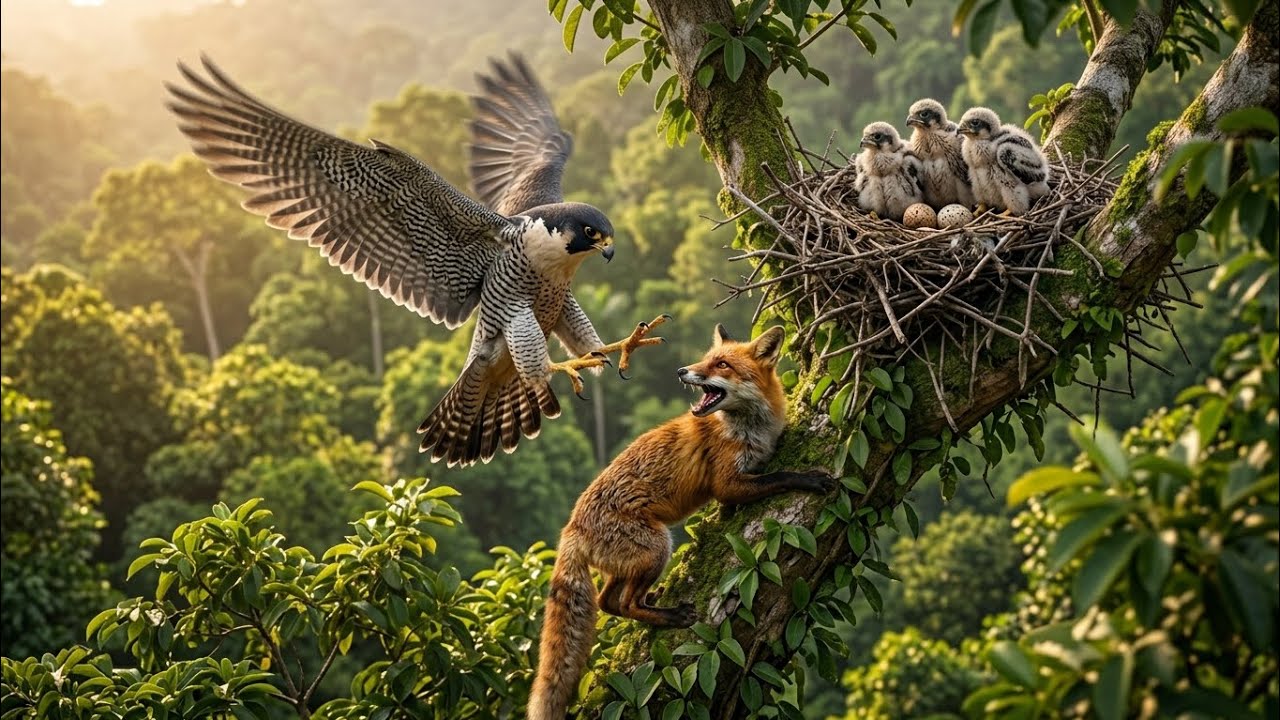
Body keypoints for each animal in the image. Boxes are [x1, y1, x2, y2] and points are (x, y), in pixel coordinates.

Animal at [527, 324, 833, 720]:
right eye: (706, 360)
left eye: (721, 364)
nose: (682, 370)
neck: (750, 427)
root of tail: (570, 530)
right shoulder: (727, 484)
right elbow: (779, 476)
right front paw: (810, 478)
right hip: (658, 546)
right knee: (625, 605)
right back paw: (670, 615)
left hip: (631, 561)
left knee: (609, 602)